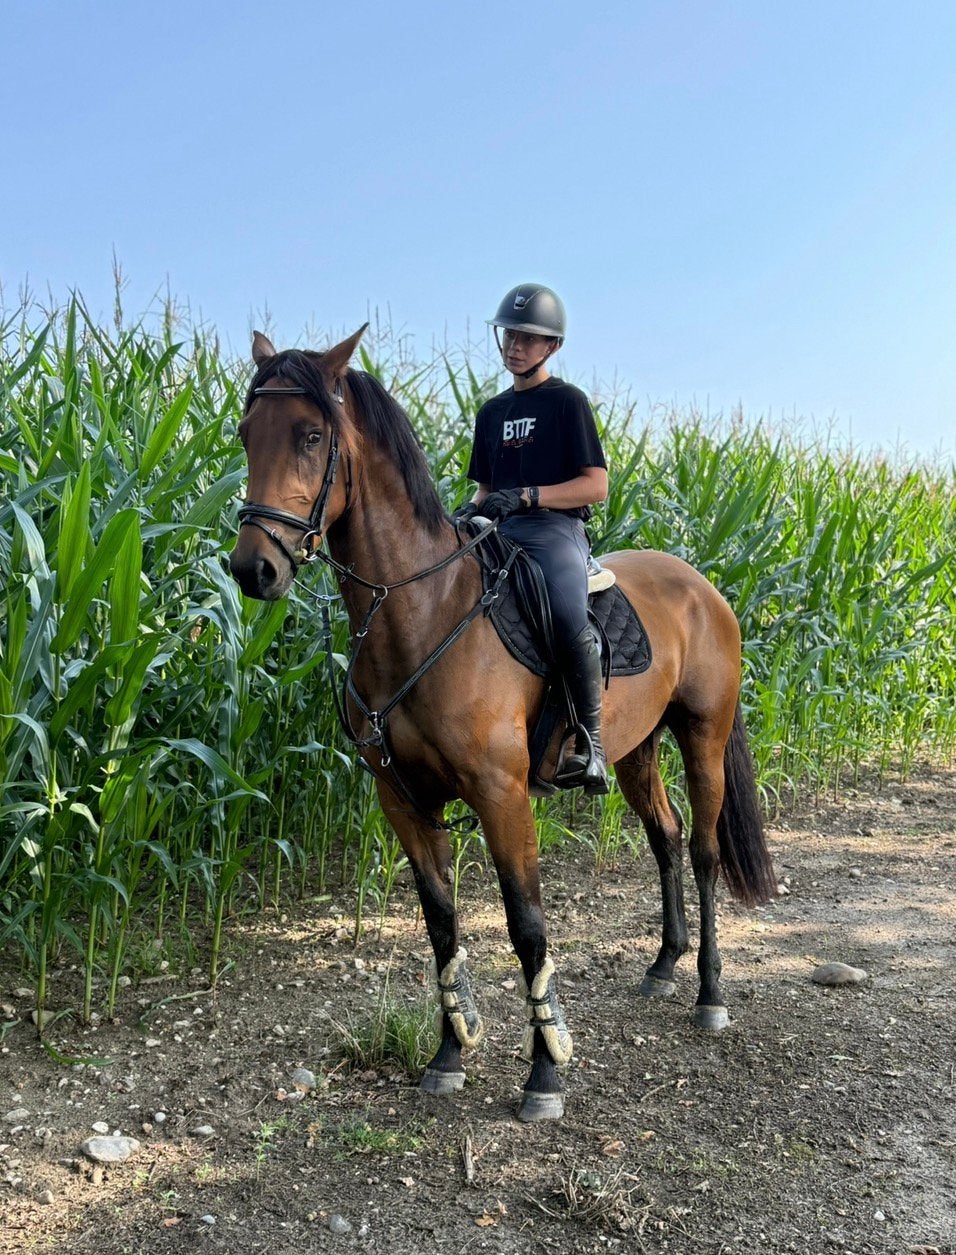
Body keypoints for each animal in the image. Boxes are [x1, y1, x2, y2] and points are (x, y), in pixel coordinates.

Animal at [228, 326, 778, 1123]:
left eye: (309, 435)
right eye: (245, 433)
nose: (253, 569)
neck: (421, 613)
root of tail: (703, 586)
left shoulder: (502, 794)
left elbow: (526, 925)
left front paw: (546, 1070)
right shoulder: (403, 800)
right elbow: (441, 922)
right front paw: (449, 1053)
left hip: (703, 734)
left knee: (704, 851)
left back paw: (708, 992)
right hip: (637, 751)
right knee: (666, 839)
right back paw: (662, 966)